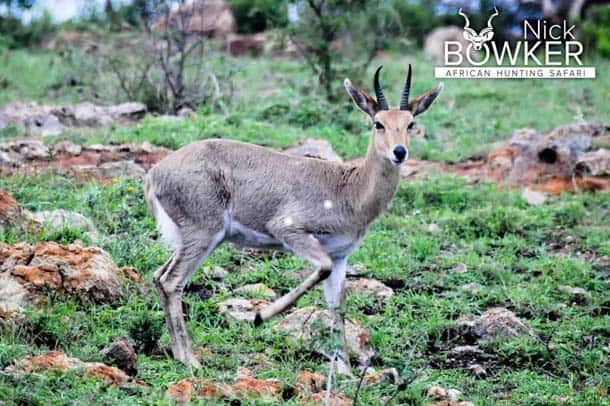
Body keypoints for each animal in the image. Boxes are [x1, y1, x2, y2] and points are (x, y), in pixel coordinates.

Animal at [146, 65, 442, 372]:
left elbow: (337, 307)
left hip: (196, 239)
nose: (399, 152)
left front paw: (345, 371)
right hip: (204, 234)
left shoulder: (340, 256)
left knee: (158, 276)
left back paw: (179, 354)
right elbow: (320, 269)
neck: (349, 190)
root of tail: (155, 173)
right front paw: (260, 316)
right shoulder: (289, 230)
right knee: (172, 282)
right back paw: (190, 360)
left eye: (410, 123)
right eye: (378, 123)